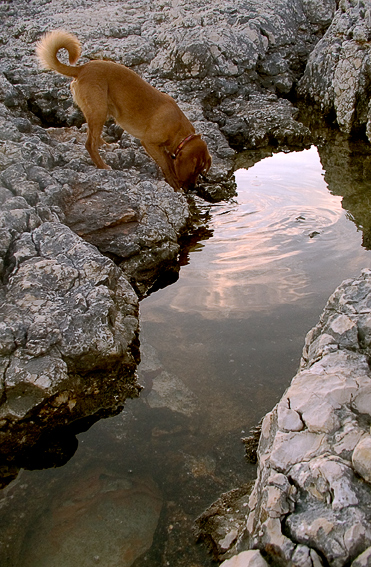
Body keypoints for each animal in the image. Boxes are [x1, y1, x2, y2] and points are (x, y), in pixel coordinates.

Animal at [38, 31, 214, 191]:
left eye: (200, 172)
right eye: (193, 170)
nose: (192, 188)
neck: (180, 131)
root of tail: (82, 68)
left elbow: (168, 161)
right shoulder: (149, 143)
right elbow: (165, 164)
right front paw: (174, 183)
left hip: (100, 111)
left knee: (94, 136)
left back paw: (105, 146)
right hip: (99, 110)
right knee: (89, 144)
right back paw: (103, 165)